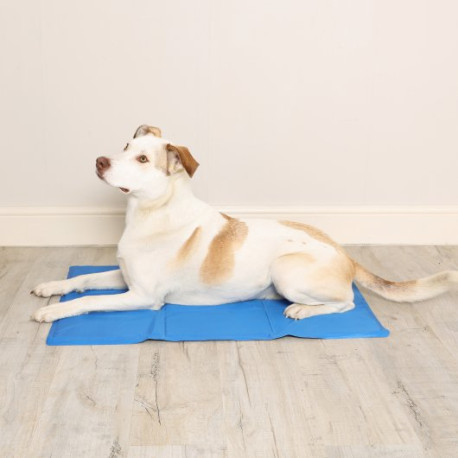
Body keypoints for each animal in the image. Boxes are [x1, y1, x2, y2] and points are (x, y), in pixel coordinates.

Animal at [30, 125, 456, 322]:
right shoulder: (124, 277)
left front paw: (53, 312)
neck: (149, 213)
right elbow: (85, 280)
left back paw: (302, 312)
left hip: (286, 272)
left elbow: (91, 300)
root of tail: (345, 254)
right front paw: (51, 288)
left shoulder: (143, 297)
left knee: (347, 303)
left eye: (142, 160)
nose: (100, 161)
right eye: (125, 147)